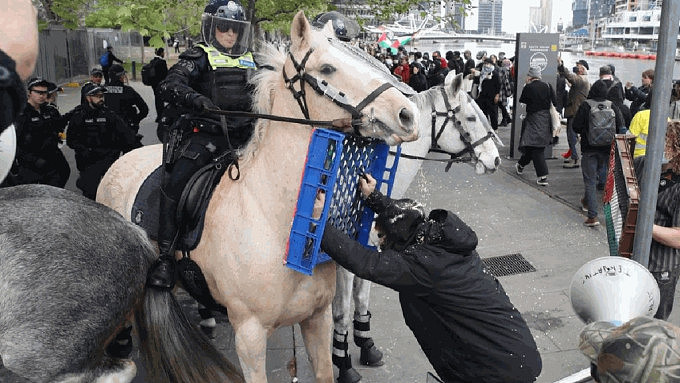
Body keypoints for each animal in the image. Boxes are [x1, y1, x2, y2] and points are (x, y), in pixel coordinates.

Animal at [96, 11, 420, 380]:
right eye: (327, 68)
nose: (407, 113)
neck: (273, 219)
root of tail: (120, 162)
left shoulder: (317, 318)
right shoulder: (249, 335)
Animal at [332, 70, 502, 382]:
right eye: (471, 118)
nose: (495, 159)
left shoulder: (366, 247)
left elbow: (362, 295)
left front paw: (365, 343)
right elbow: (341, 309)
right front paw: (343, 360)